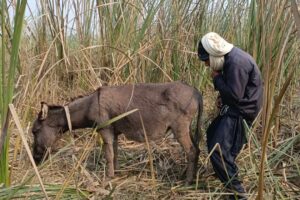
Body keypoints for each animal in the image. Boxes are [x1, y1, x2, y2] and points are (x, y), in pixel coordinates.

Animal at [31, 81, 203, 184]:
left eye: (34, 131)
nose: (35, 159)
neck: (89, 105)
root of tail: (195, 91)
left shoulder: (105, 129)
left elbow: (108, 154)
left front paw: (108, 177)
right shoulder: (114, 132)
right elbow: (114, 153)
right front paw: (116, 172)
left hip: (180, 128)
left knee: (191, 151)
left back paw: (187, 181)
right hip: (187, 128)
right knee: (197, 149)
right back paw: (191, 176)